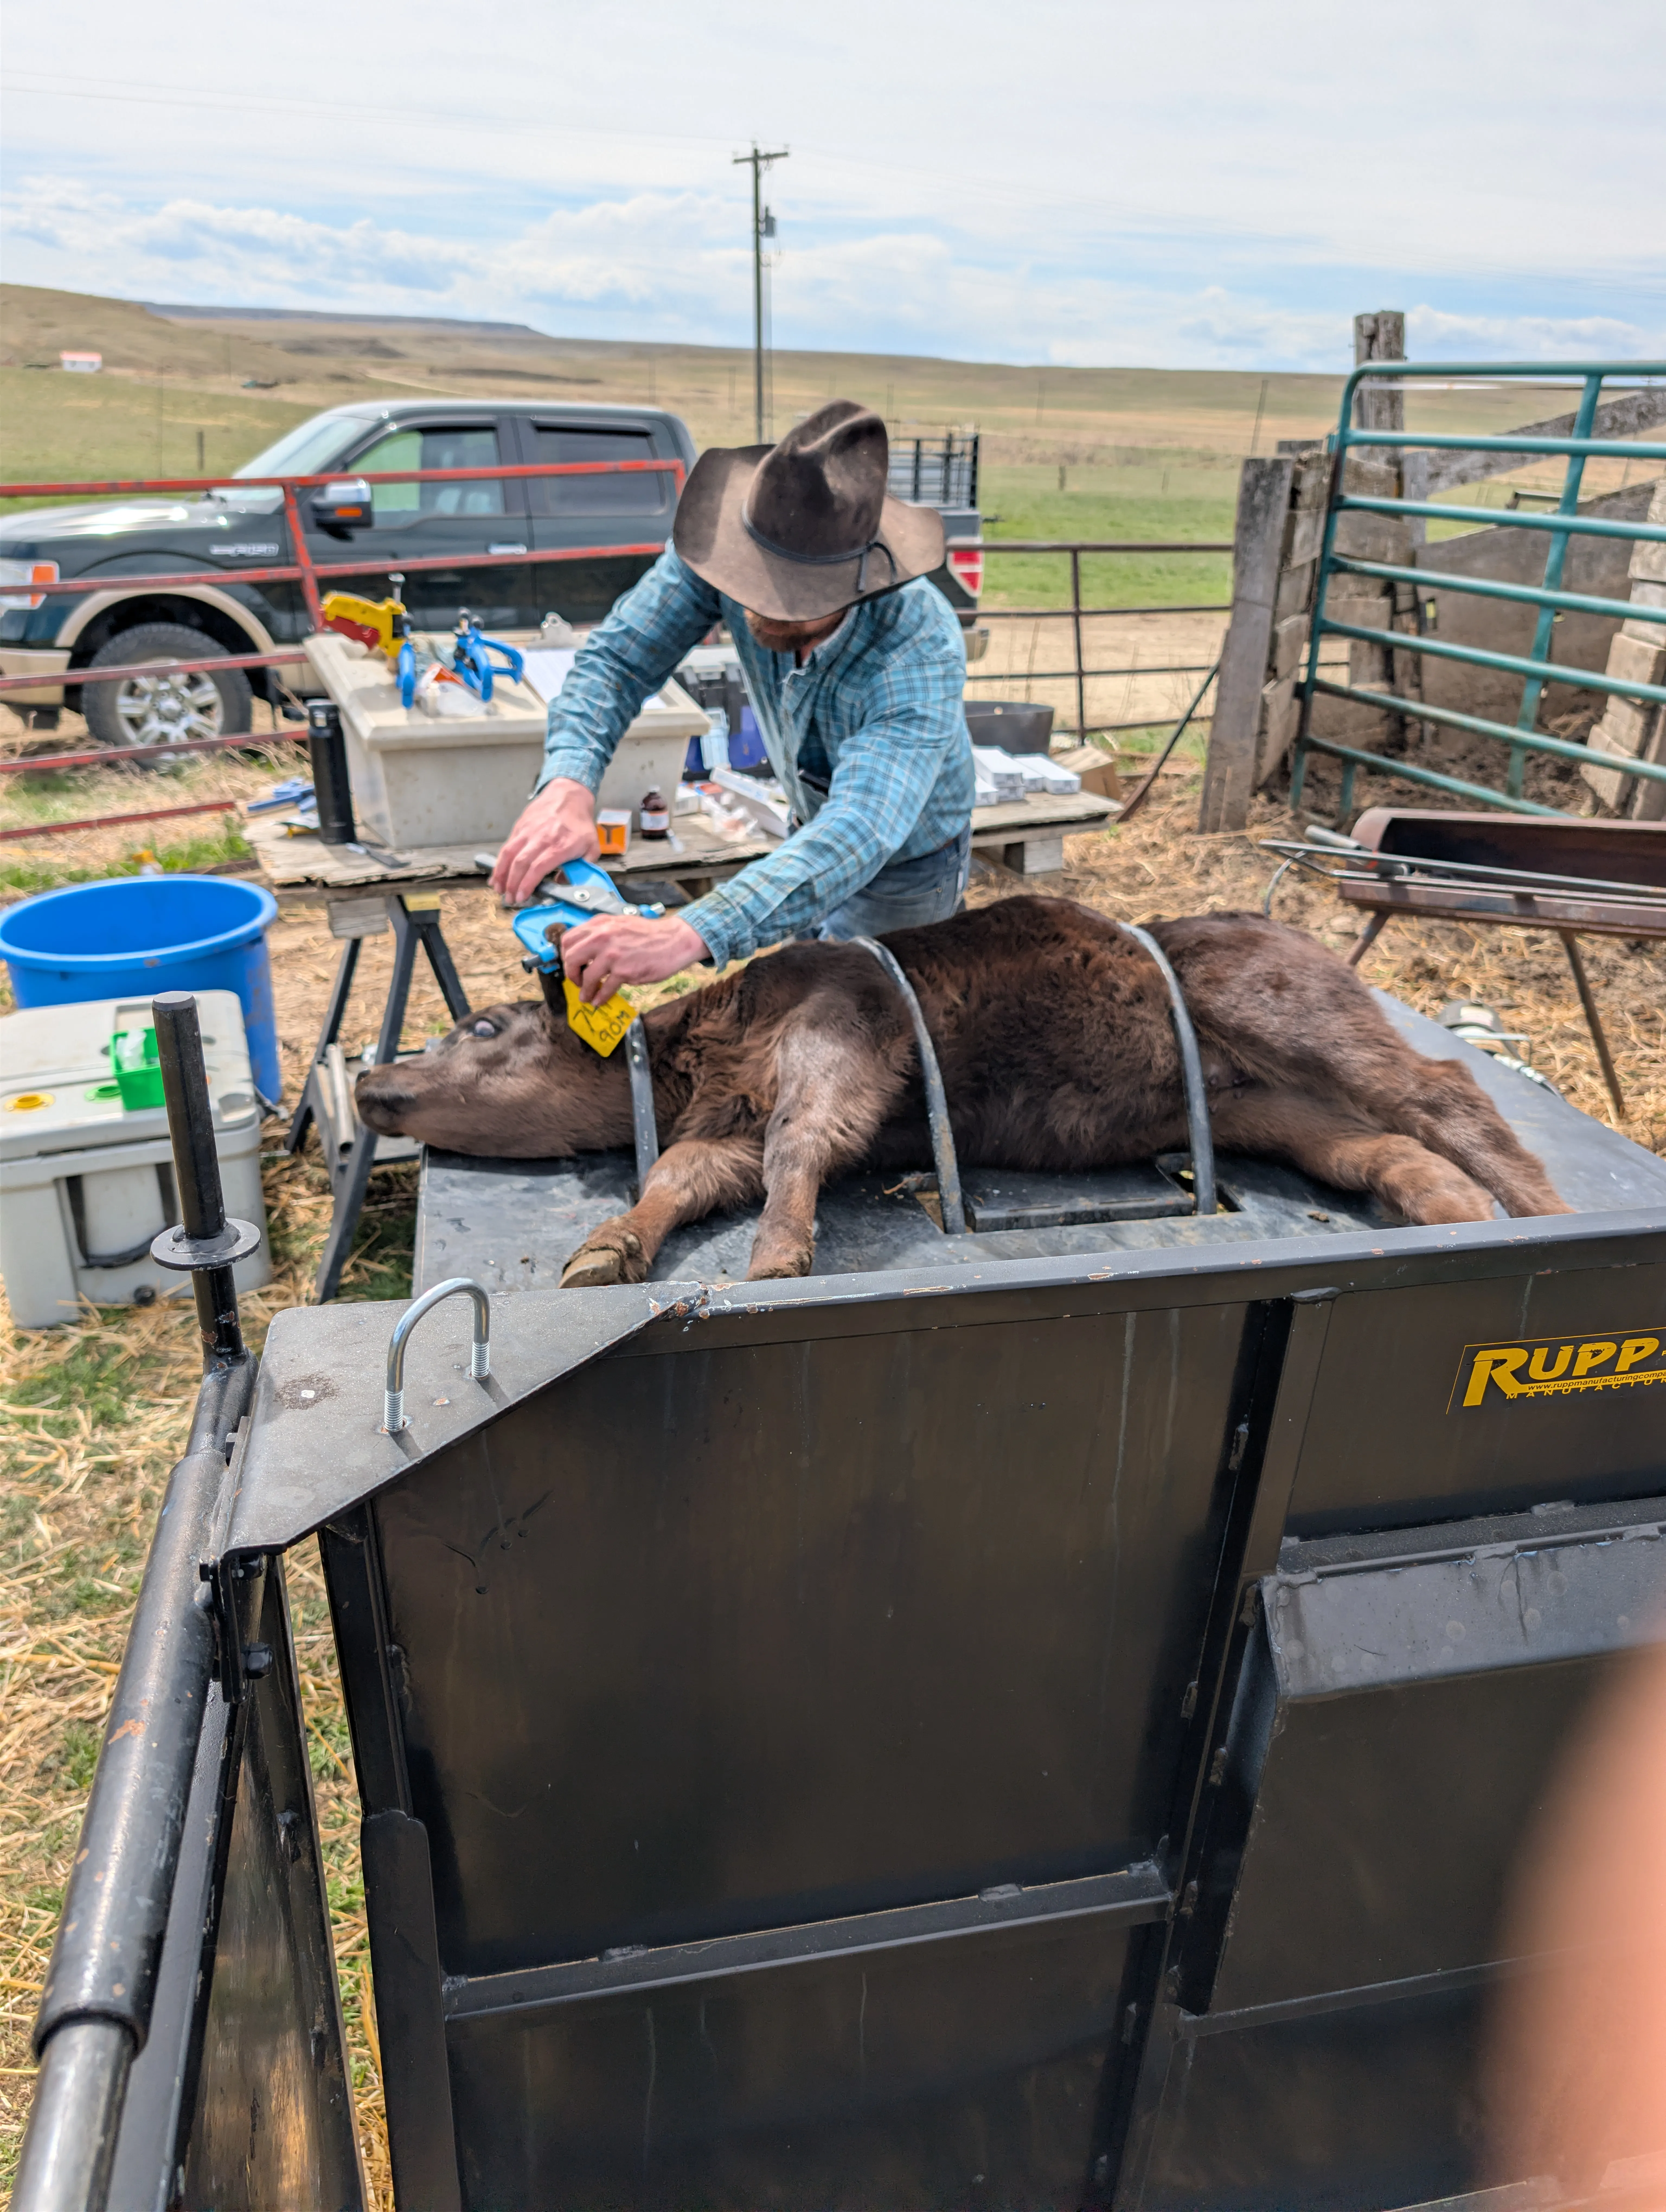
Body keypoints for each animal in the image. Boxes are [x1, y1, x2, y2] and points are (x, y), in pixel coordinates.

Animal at [354, 896, 1570, 1287]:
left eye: (482, 1027)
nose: (370, 1079)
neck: (713, 1050)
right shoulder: (725, 1132)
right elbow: (681, 1175)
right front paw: (611, 1247)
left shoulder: (844, 1046)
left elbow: (802, 1144)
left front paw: (780, 1257)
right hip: (1268, 1106)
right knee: (1386, 1149)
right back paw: (1453, 1212)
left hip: (1298, 1017)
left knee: (1443, 1090)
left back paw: (1548, 1213)